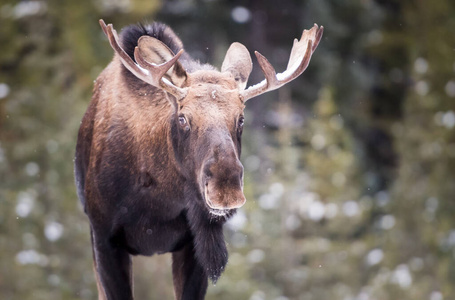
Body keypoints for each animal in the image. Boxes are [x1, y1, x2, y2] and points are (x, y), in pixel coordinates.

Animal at [75, 19, 322, 300]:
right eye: (183, 118)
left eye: (241, 119)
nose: (225, 188)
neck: (158, 202)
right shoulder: (104, 238)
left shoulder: (194, 244)